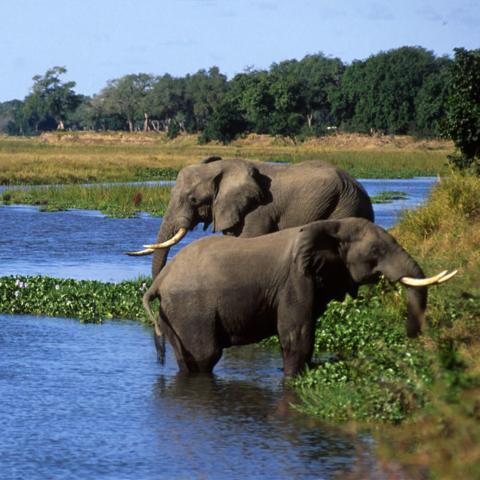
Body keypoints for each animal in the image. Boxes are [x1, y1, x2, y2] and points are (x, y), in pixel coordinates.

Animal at [143, 216, 458, 376]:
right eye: (376, 252)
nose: (412, 339)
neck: (332, 227)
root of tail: (159, 280)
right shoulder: (294, 280)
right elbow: (297, 335)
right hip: (190, 309)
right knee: (205, 355)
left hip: (172, 314)